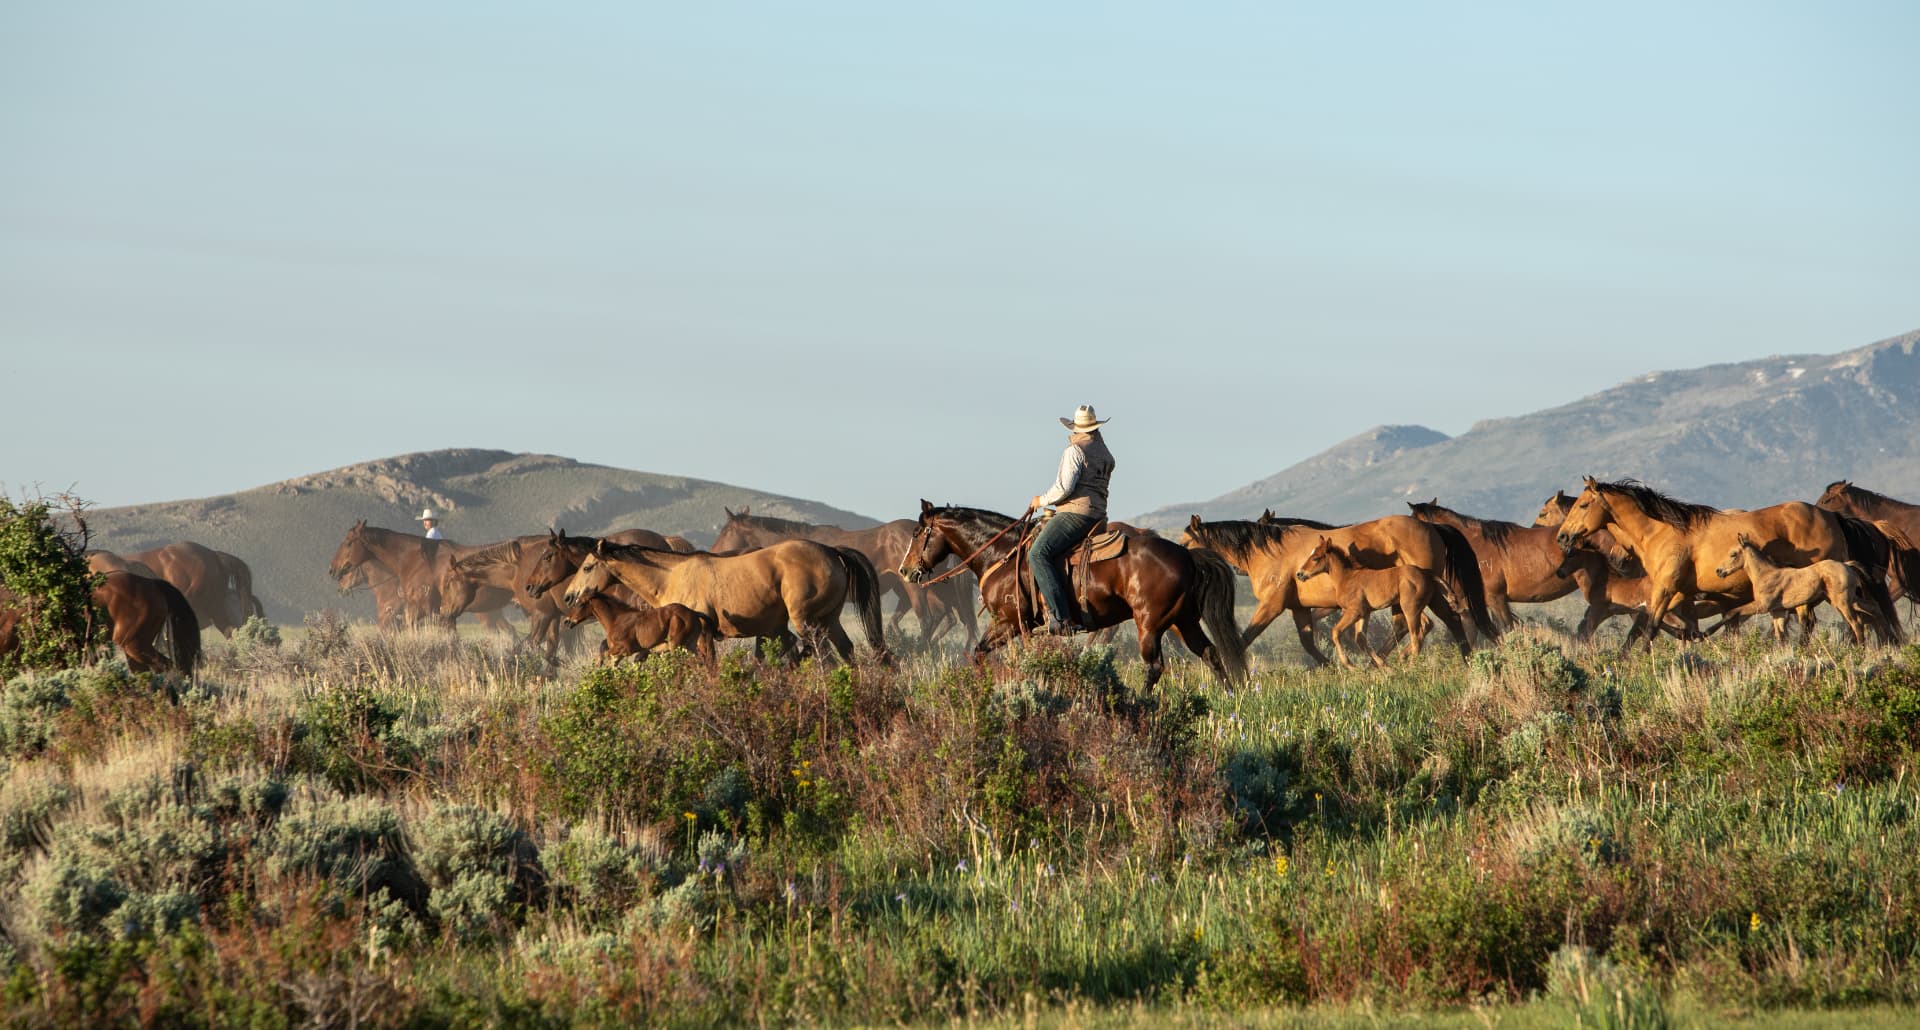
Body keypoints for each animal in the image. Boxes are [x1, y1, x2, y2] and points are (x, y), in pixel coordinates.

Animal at [562, 594, 718, 665]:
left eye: (580, 604)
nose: (567, 621)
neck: (616, 619)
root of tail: (693, 612)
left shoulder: (625, 649)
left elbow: (603, 655)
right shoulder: (619, 654)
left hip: (677, 646)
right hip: (689, 645)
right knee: (703, 661)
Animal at [899, 502, 1248, 687]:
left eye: (917, 533)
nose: (905, 570)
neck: (1002, 554)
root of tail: (1187, 555)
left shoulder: (1008, 623)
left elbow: (978, 653)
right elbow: (980, 654)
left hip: (1150, 624)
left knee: (1155, 667)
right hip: (1184, 621)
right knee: (1211, 653)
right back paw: (1232, 697)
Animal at [1181, 514, 1494, 666]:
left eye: (1185, 541)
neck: (1271, 551)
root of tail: (1432, 527)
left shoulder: (1272, 606)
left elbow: (1244, 639)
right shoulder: (1299, 609)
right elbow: (1308, 642)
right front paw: (1332, 666)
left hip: (1422, 596)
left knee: (1445, 621)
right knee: (1415, 626)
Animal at [1553, 478, 1903, 647]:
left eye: (1582, 504)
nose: (1562, 536)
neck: (1663, 531)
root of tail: (1832, 516)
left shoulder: (1665, 589)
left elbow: (1650, 626)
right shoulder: (1681, 593)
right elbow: (1671, 626)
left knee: (1841, 620)